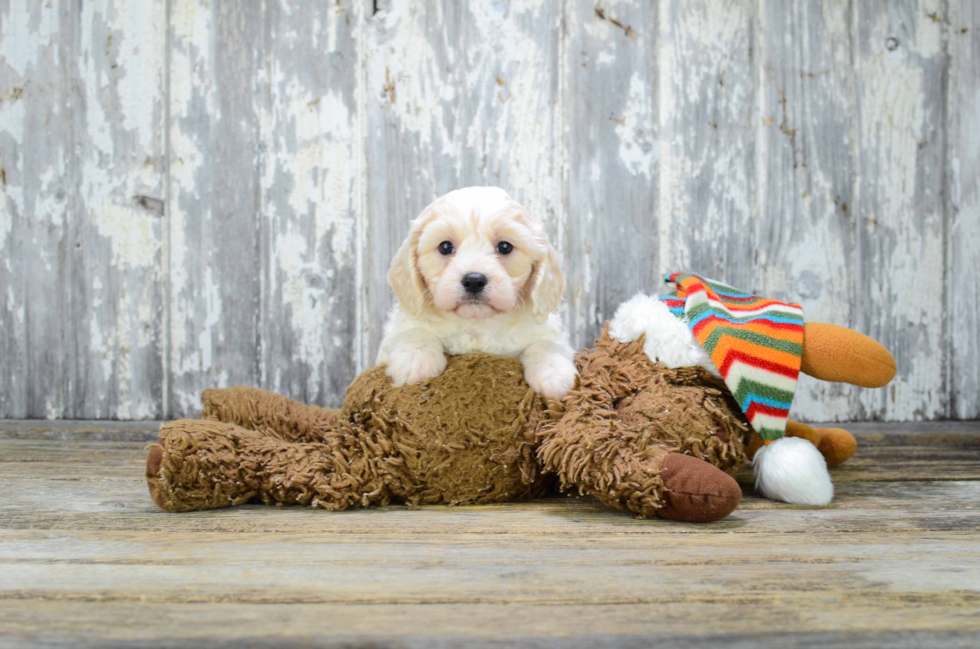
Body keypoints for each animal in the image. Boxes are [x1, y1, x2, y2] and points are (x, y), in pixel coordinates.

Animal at [374, 185, 576, 398]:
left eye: (505, 246)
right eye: (445, 246)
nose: (473, 281)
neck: (476, 324)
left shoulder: (546, 329)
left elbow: (547, 344)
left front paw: (554, 374)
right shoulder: (401, 324)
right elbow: (414, 331)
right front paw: (415, 360)